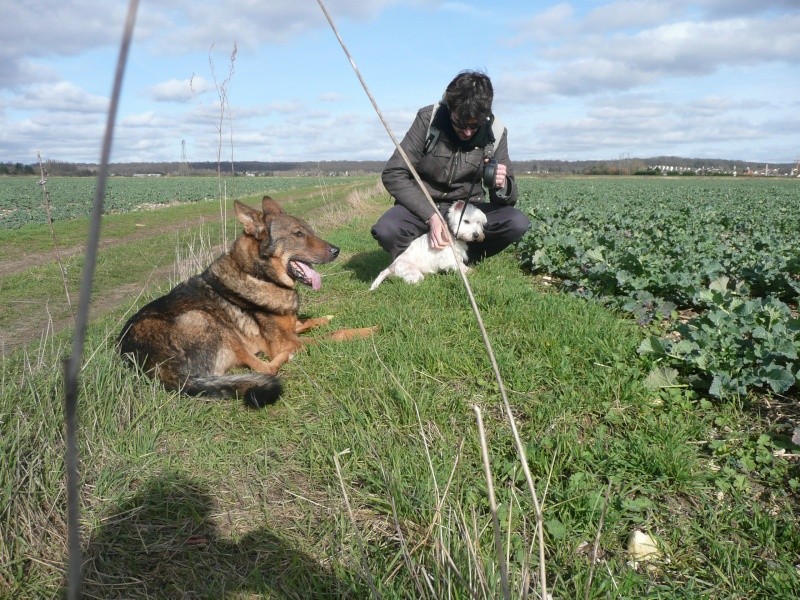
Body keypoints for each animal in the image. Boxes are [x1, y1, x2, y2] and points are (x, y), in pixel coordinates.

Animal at [118, 197, 376, 408]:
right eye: (297, 234)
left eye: (309, 231)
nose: (337, 250)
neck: (259, 275)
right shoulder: (284, 341)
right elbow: (335, 334)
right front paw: (368, 330)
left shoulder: (289, 326)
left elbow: (304, 322)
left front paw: (323, 318)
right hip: (206, 320)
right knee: (265, 368)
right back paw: (286, 357)